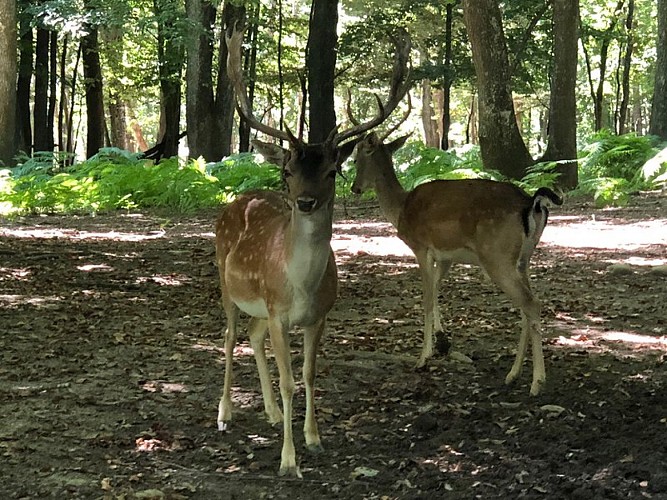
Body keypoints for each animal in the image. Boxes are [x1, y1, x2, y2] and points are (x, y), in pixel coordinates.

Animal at [217, 26, 410, 476]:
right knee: (230, 337)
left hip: (259, 308)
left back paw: (271, 413)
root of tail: (237, 201)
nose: (304, 202)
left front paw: (313, 439)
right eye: (288, 170)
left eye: (332, 170)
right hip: (225, 283)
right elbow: (289, 381)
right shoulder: (279, 314)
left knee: (251, 336)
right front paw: (288, 461)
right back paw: (224, 413)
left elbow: (308, 374)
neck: (301, 286)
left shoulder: (318, 316)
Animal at [352, 134, 560, 398]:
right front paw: (442, 340)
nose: (355, 188)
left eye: (356, 158)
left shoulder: (421, 246)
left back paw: (537, 382)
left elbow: (427, 298)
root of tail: (533, 204)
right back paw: (513, 374)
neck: (400, 209)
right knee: (527, 305)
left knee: (531, 303)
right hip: (523, 259)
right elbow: (436, 290)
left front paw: (423, 358)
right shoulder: (445, 257)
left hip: (497, 256)